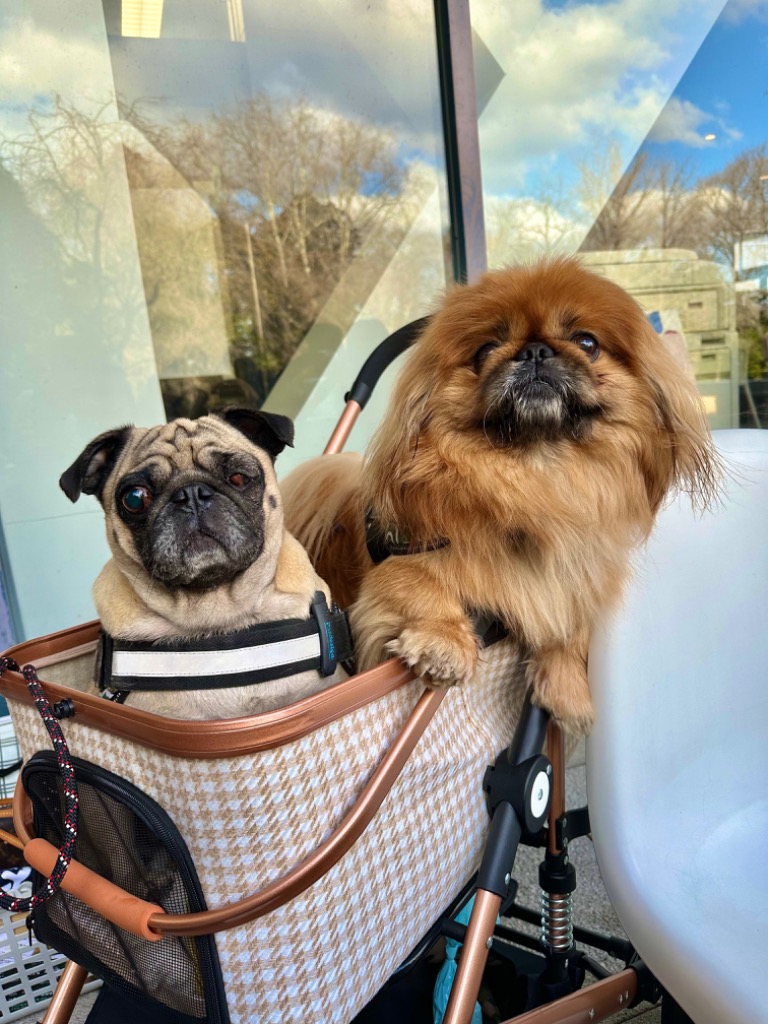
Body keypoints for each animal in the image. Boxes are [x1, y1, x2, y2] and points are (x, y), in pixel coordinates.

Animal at [281, 257, 720, 735]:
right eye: (486, 349)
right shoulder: (400, 562)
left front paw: (568, 692)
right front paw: (444, 643)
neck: (536, 475)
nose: (535, 351)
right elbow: (420, 584)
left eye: (587, 342)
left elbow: (569, 623)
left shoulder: (575, 572)